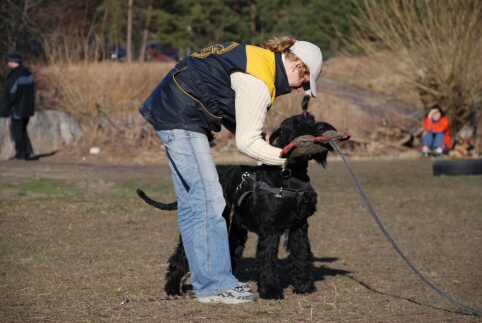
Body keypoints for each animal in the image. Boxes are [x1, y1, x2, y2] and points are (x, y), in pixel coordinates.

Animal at [137, 114, 348, 302]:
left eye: (312, 119)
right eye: (297, 125)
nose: (321, 128)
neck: (290, 175)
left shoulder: (299, 226)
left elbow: (302, 254)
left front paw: (304, 286)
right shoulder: (270, 230)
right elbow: (268, 259)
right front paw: (271, 291)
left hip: (236, 230)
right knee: (181, 254)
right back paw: (172, 287)